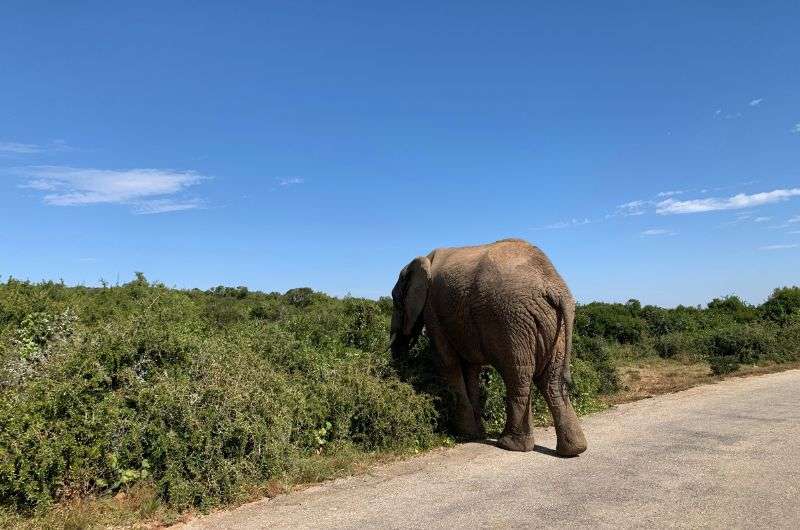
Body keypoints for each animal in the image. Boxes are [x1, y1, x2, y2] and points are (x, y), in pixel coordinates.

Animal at [390, 236, 588, 454]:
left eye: (396, 300)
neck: (423, 259)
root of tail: (555, 286)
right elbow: (470, 369)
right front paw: (477, 433)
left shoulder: (433, 310)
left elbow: (447, 363)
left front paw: (465, 434)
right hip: (553, 325)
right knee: (551, 380)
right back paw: (573, 451)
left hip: (510, 321)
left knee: (518, 375)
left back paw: (510, 445)